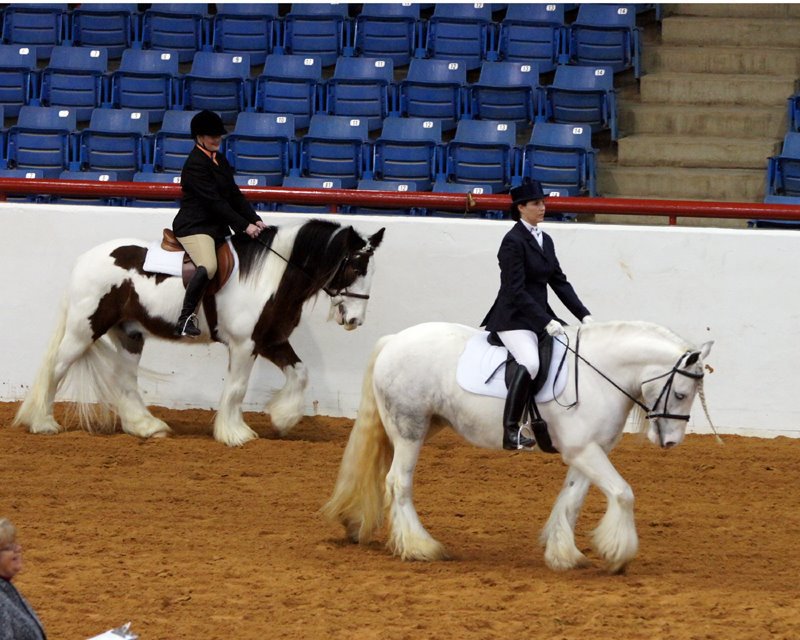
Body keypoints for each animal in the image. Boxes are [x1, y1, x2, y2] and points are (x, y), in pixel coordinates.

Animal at [13, 219, 385, 447]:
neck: (272, 275)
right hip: (84, 329)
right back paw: (42, 423)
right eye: (355, 266)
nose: (355, 319)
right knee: (56, 368)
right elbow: (236, 388)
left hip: (130, 335)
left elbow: (301, 373)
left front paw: (283, 419)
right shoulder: (244, 344)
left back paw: (146, 427)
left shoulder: (271, 341)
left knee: (125, 380)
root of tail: (84, 260)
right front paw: (235, 433)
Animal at [323, 320, 713, 573]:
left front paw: (564, 554)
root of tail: (393, 340)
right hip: (410, 429)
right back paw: (420, 547)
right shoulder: (585, 451)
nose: (671, 442)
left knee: (381, 473)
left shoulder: (587, 451)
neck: (597, 374)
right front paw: (618, 554)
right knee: (398, 483)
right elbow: (623, 493)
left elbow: (571, 501)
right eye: (681, 393)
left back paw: (360, 524)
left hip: (416, 427)